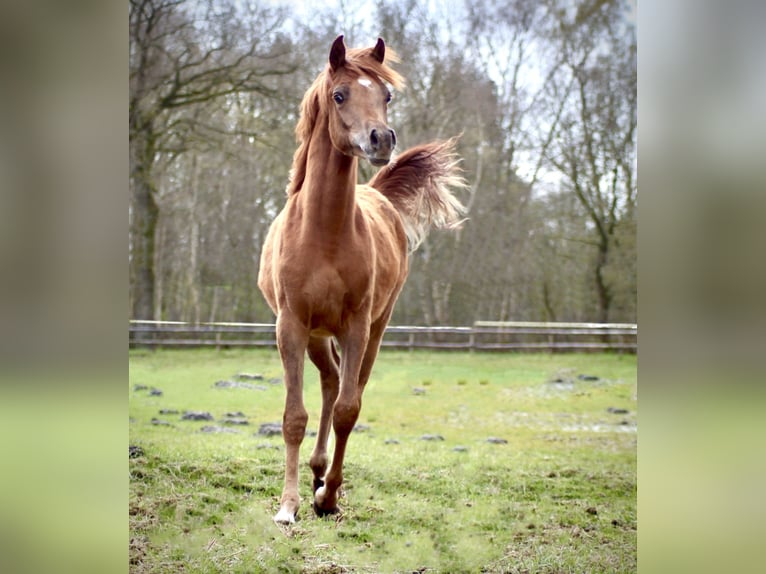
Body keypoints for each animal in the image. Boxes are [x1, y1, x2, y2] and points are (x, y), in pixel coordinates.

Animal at [260, 32, 468, 528]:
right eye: (340, 95)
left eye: (386, 95)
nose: (382, 139)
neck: (324, 232)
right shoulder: (290, 325)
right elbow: (293, 416)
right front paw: (288, 505)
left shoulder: (356, 324)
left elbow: (348, 411)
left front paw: (328, 498)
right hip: (317, 334)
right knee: (330, 380)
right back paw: (314, 471)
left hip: (374, 328)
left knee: (344, 387)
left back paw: (323, 477)